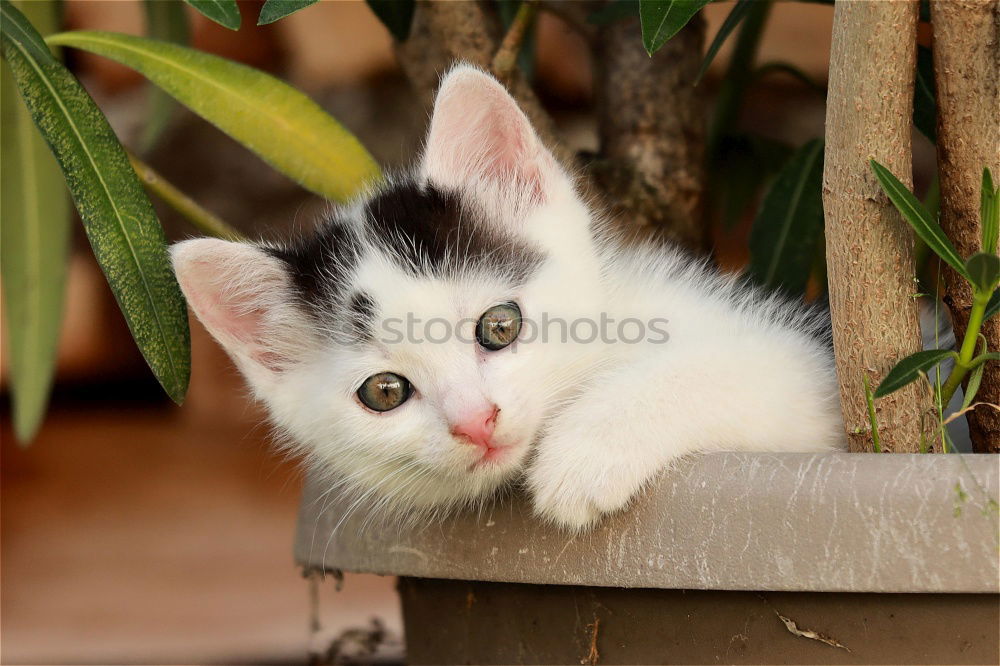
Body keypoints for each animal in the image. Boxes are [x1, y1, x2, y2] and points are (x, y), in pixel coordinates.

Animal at [170, 63, 844, 528]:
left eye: (499, 326)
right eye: (384, 392)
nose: (476, 423)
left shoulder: (809, 371)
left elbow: (728, 367)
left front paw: (584, 453)